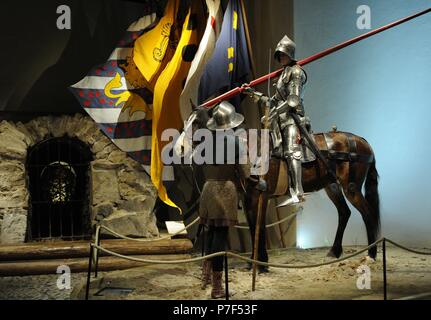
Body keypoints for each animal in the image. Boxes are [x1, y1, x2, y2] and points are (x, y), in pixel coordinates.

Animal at [243, 130, 382, 270]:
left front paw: (260, 263)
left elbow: (258, 226)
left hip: (351, 188)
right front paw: (253, 261)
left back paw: (371, 254)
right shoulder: (248, 198)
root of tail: (362, 141)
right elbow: (253, 226)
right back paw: (335, 251)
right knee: (344, 212)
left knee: (368, 213)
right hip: (332, 186)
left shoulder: (260, 196)